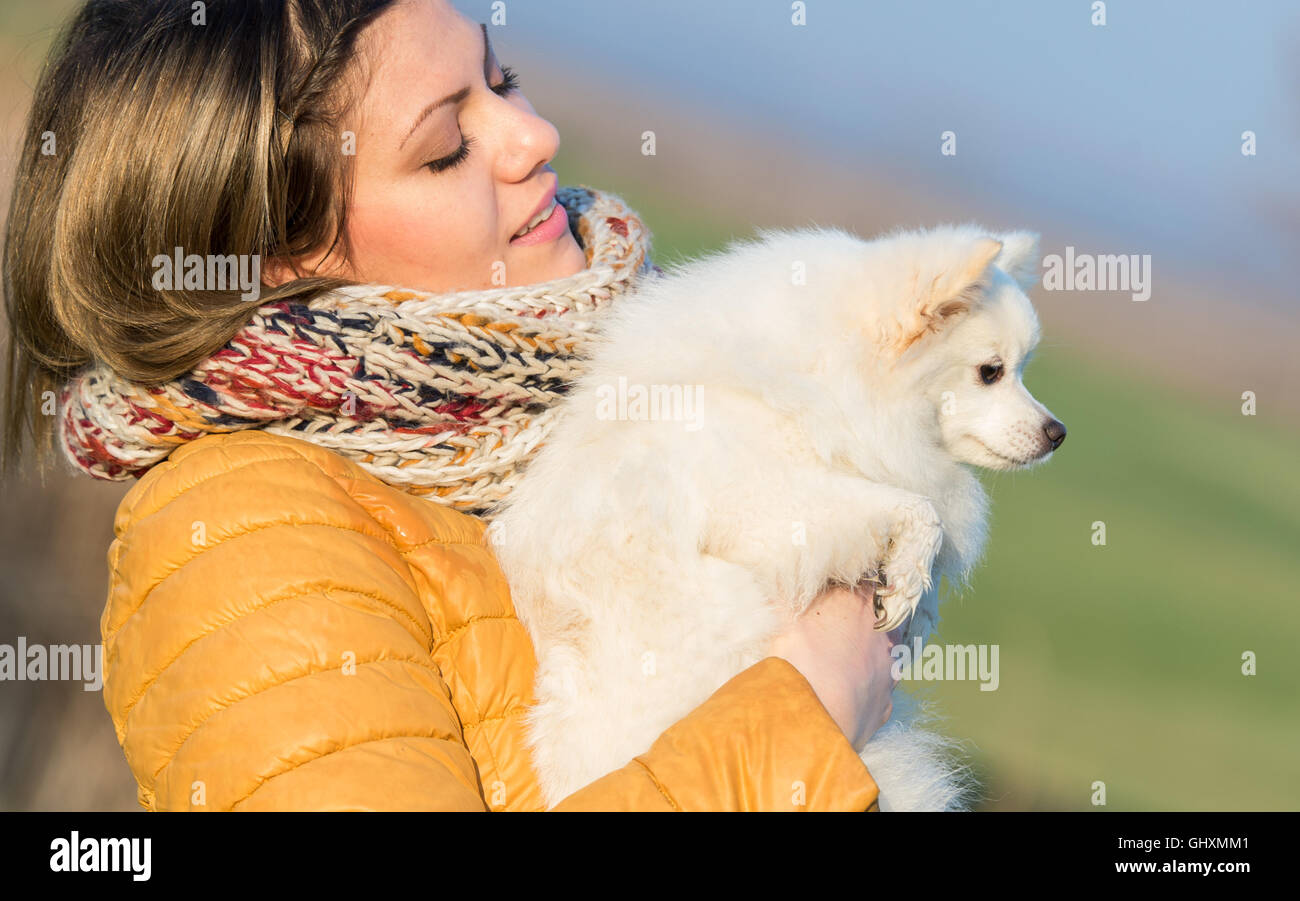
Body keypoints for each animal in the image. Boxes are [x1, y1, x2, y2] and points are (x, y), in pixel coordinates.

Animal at [488, 223, 1066, 806]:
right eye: (990, 373)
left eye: (1021, 370)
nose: (1058, 432)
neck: (820, 382)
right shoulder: (763, 500)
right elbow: (916, 509)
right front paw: (907, 579)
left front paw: (915, 602)